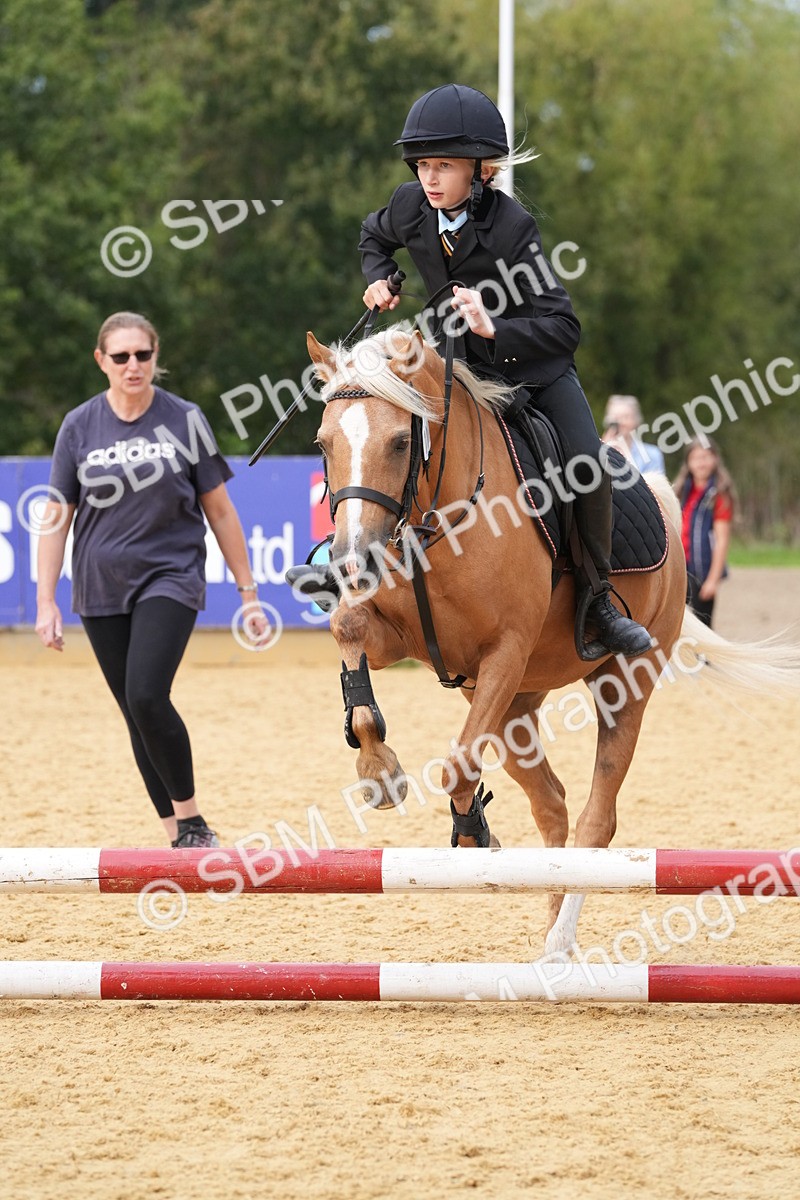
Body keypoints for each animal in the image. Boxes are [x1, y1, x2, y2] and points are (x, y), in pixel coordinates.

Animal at [304, 323, 798, 956]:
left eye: (396, 443)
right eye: (323, 445)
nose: (350, 560)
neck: (441, 515)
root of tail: (663, 495)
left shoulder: (503, 652)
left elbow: (458, 765)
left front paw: (472, 836)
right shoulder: (409, 643)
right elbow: (349, 632)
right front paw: (378, 771)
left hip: (621, 686)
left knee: (595, 818)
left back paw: (560, 942)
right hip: (515, 704)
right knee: (552, 805)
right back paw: (548, 926)